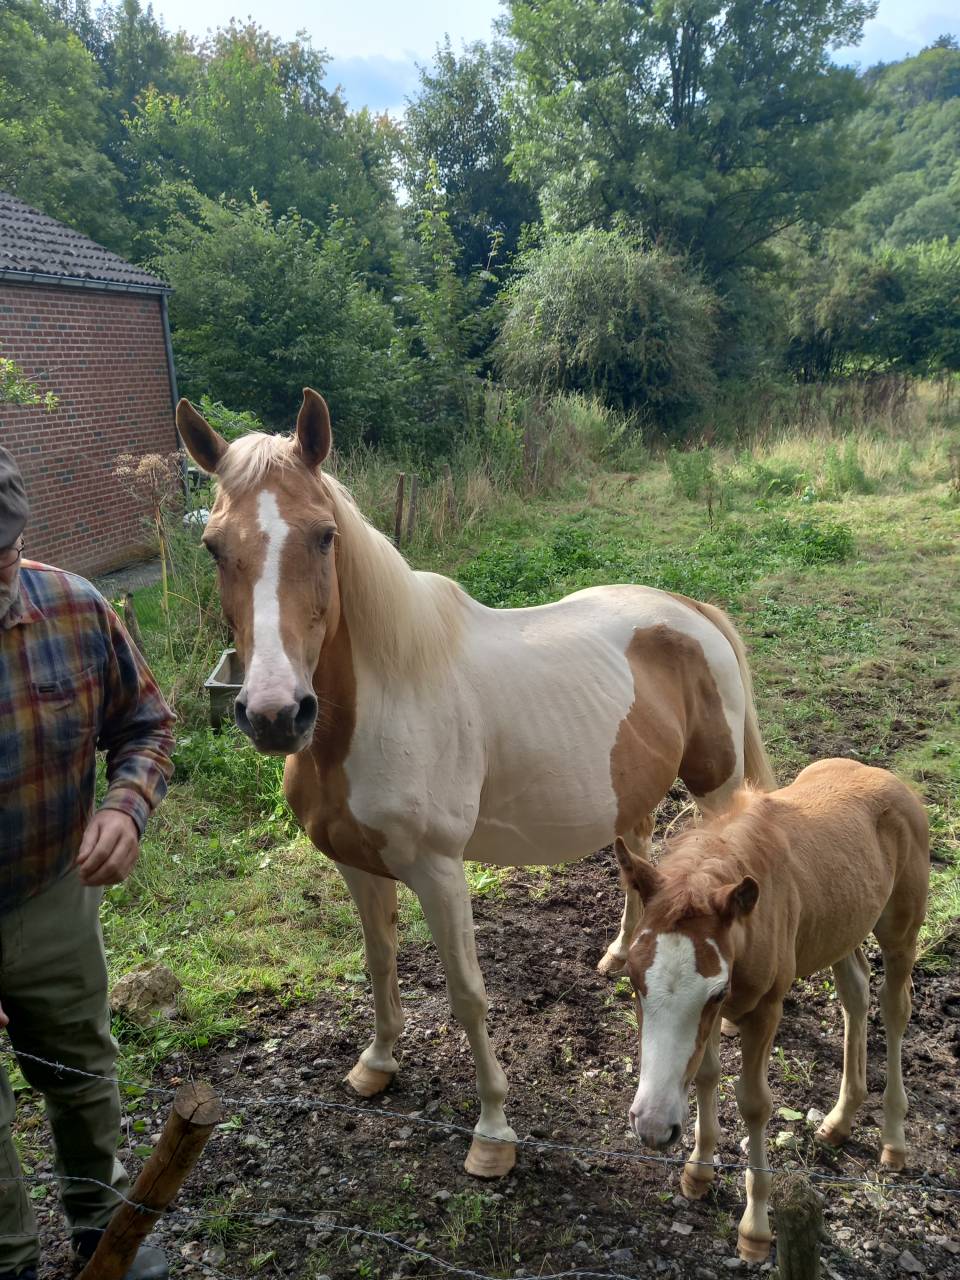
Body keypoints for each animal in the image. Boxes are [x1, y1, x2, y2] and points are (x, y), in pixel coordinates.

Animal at [175, 388, 775, 1178]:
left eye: (324, 536)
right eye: (214, 546)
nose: (276, 714)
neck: (382, 702)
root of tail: (691, 613)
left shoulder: (437, 870)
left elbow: (467, 994)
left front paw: (493, 1131)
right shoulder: (355, 864)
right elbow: (379, 963)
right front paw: (377, 1064)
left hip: (716, 790)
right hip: (633, 792)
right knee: (639, 853)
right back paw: (621, 955)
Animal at [614, 757, 929, 1262]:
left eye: (715, 993)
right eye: (633, 981)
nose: (653, 1127)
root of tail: (891, 780)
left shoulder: (761, 1010)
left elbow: (754, 1104)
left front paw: (757, 1228)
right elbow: (705, 1074)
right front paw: (698, 1170)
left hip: (901, 931)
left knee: (896, 1006)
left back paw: (893, 1140)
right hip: (842, 927)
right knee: (855, 991)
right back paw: (840, 1120)